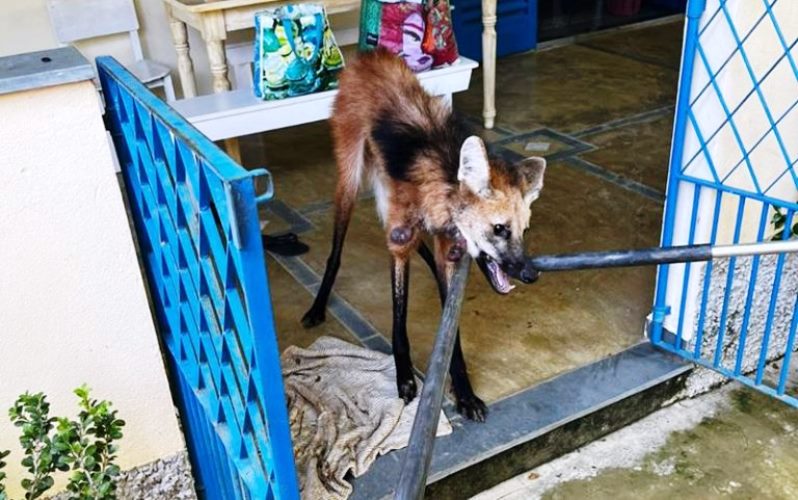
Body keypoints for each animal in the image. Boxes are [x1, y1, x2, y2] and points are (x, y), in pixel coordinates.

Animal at [304, 48, 548, 420]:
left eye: (524, 230)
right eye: (499, 229)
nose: (531, 274)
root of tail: (369, 55)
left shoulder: (446, 249)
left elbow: (450, 334)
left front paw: (464, 392)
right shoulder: (399, 239)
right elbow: (399, 313)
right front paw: (404, 377)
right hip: (350, 179)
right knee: (336, 249)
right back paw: (318, 306)